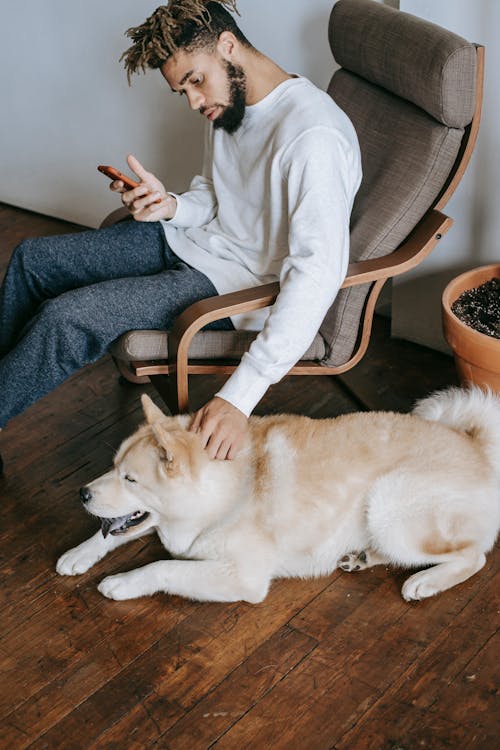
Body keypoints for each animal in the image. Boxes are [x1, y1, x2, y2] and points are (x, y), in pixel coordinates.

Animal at [56, 388, 500, 604]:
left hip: (389, 505)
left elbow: (163, 566)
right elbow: (112, 535)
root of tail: (476, 446)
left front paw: (124, 582)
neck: (225, 491)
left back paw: (426, 582)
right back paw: (362, 556)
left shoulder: (242, 578)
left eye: (131, 479)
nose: (82, 494)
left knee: (473, 556)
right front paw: (79, 553)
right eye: (113, 466)